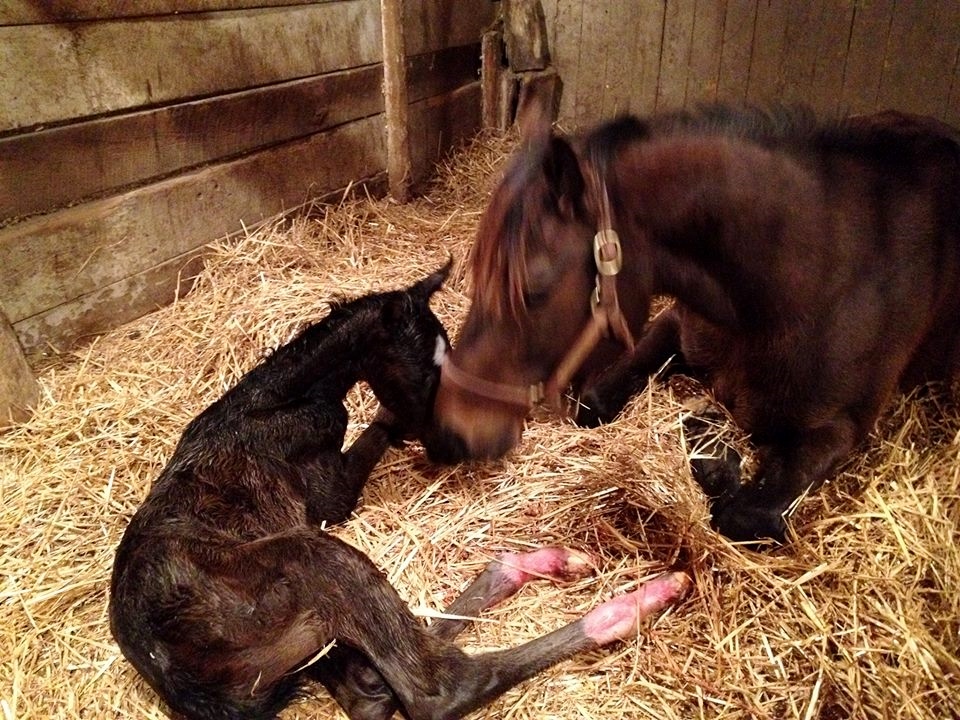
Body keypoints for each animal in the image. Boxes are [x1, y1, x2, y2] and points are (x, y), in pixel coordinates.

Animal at [109, 264, 688, 720]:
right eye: (426, 372)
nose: (450, 444)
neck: (274, 398)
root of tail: (180, 681)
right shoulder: (329, 495)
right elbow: (374, 433)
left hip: (314, 639)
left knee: (373, 687)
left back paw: (542, 563)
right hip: (309, 556)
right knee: (437, 689)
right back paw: (640, 599)